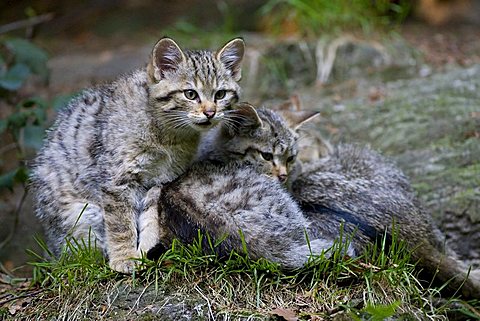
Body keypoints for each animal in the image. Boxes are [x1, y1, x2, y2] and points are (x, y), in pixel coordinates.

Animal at [31, 37, 246, 272]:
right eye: (190, 94)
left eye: (220, 94)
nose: (210, 112)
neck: (168, 135)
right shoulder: (117, 180)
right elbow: (120, 224)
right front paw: (124, 258)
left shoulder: (160, 181)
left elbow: (151, 216)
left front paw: (145, 250)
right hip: (82, 213)